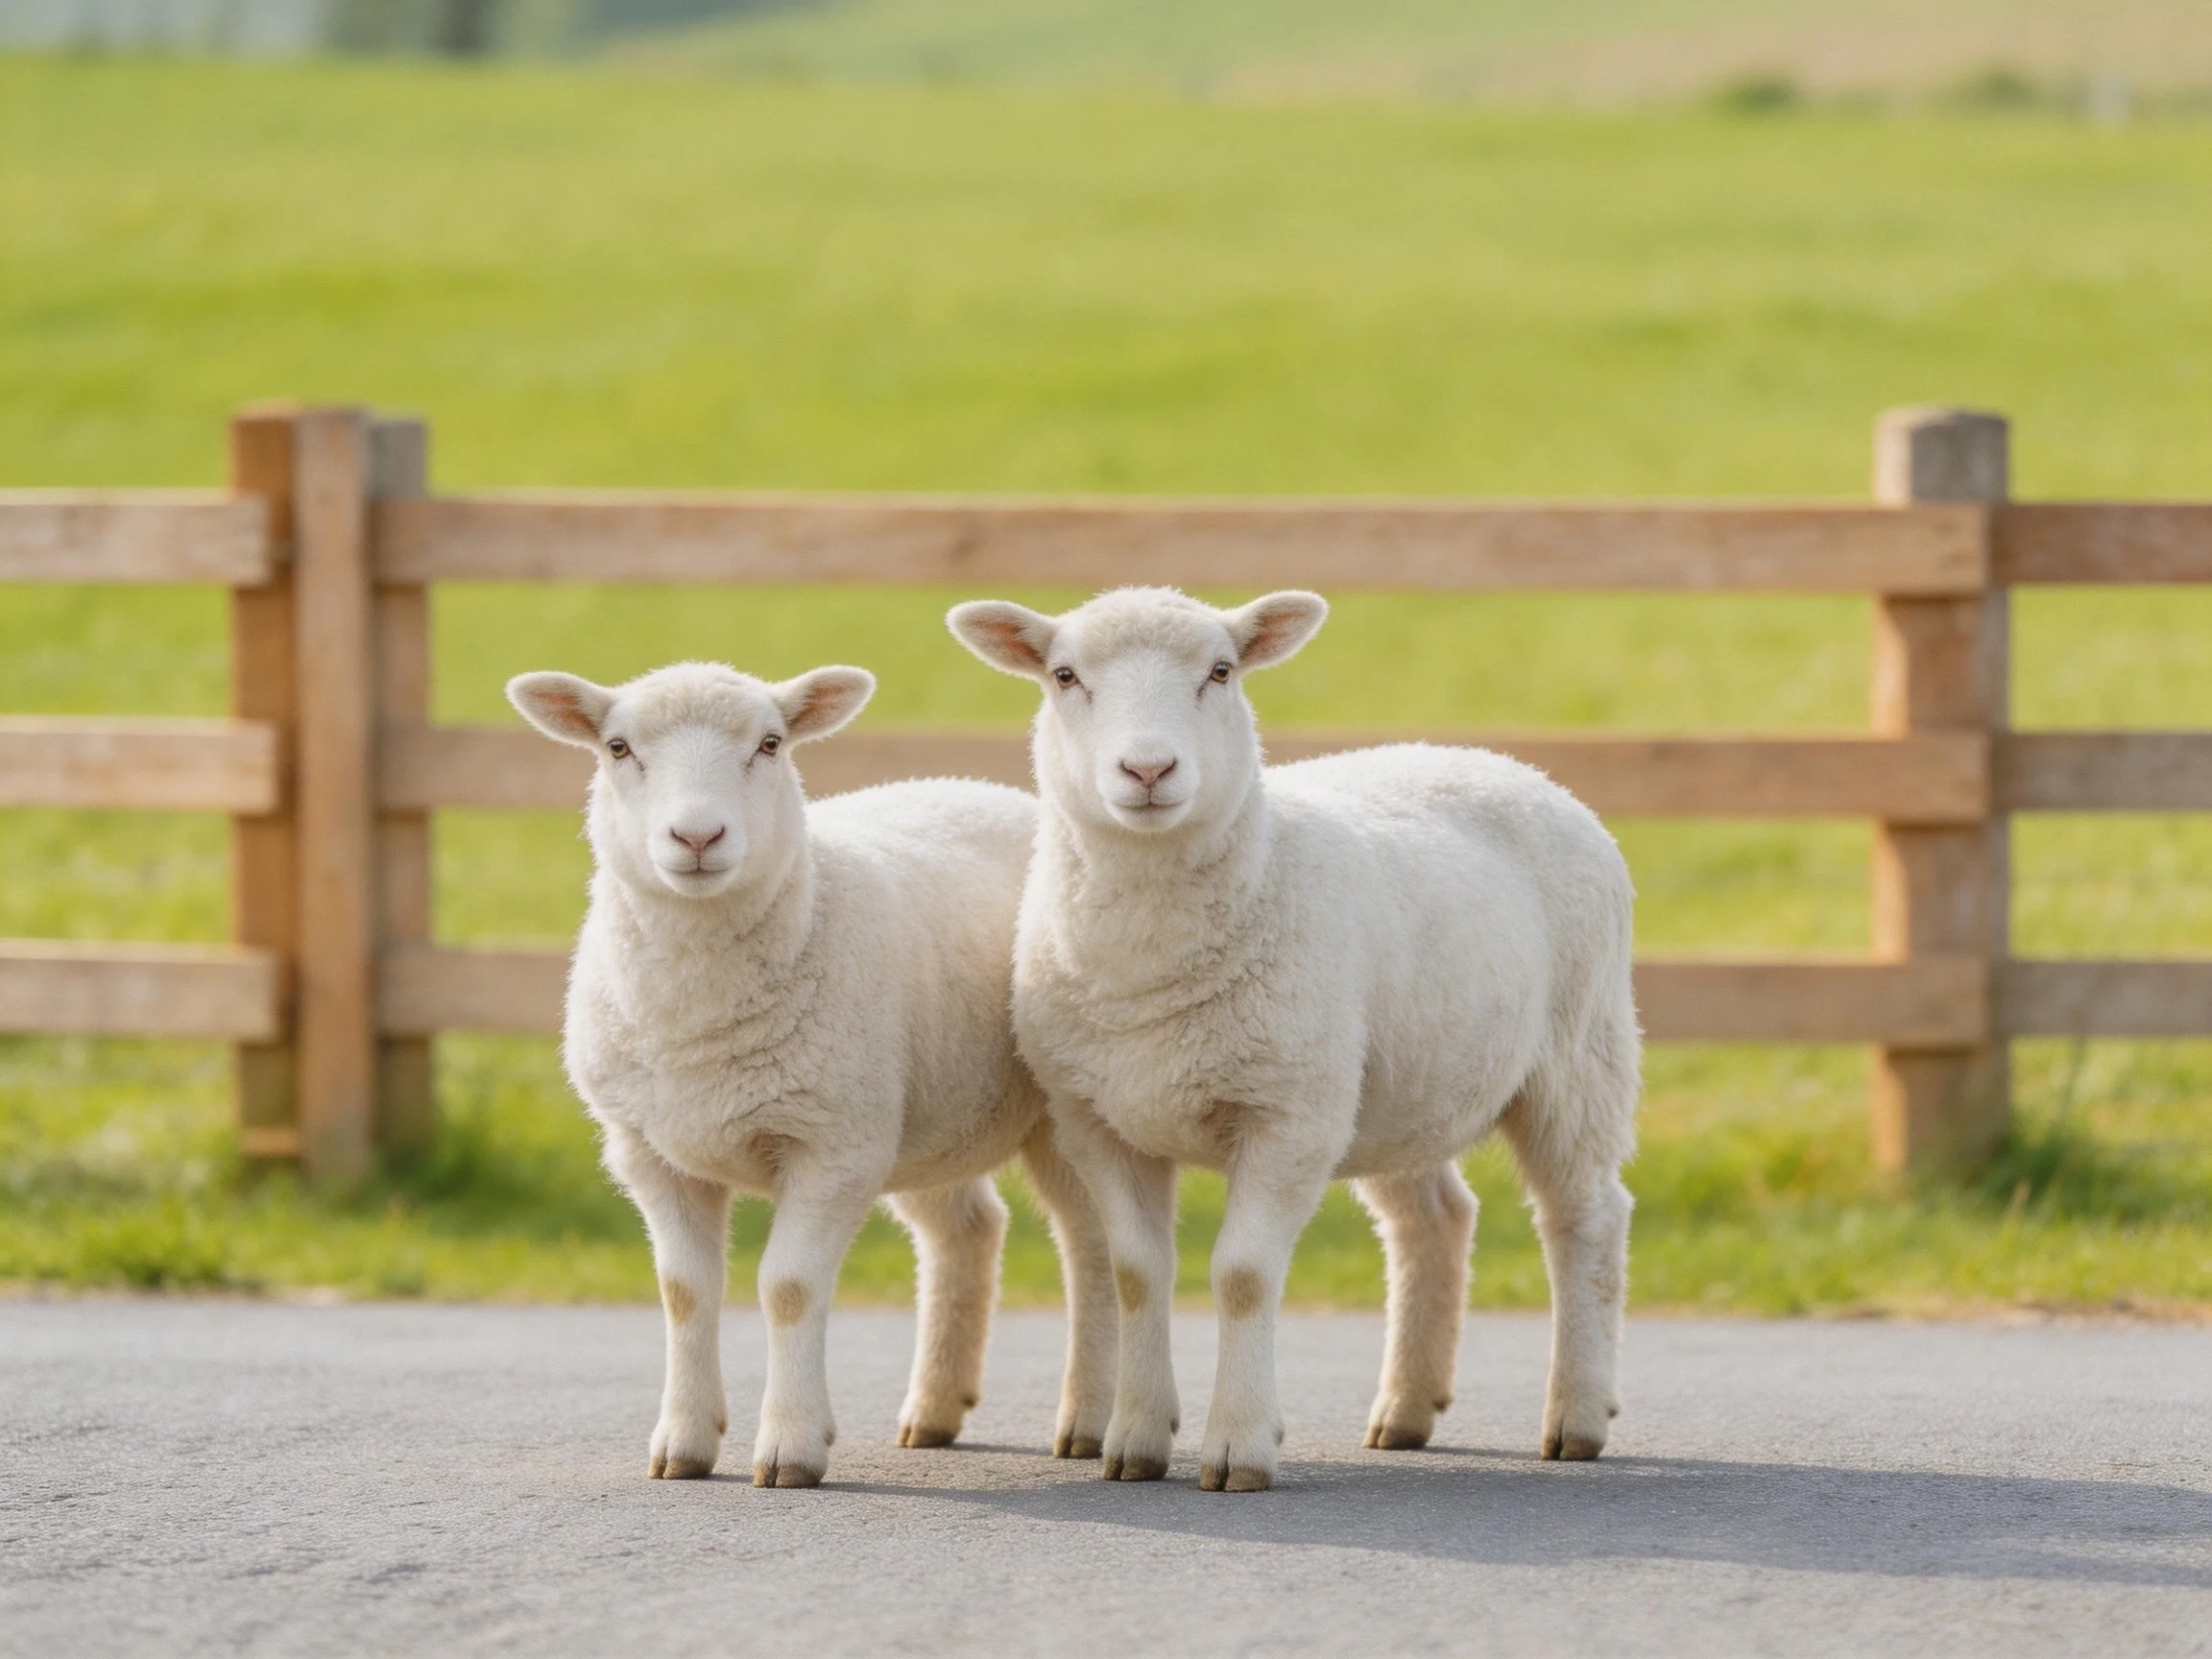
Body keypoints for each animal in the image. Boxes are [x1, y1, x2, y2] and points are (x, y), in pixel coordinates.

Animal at [506, 660, 1116, 1489]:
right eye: (618, 747)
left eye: (770, 743)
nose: (696, 836)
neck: (700, 1018)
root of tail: (995, 792)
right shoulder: (650, 1153)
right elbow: (684, 1293)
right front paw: (684, 1443)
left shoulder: (830, 1147)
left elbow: (789, 1289)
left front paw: (790, 1446)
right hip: (920, 1114)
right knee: (967, 1230)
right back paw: (935, 1409)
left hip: (1048, 1111)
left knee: (1092, 1248)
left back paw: (1089, 1419)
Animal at [948, 587, 1639, 1493]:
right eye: (1064, 675)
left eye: (1220, 671)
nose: (1148, 771)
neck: (1150, 968)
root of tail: (1499, 761)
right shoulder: (1100, 1121)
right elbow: (1137, 1274)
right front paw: (1135, 1441)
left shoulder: (1286, 1115)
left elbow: (1242, 1276)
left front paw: (1238, 1445)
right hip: (1389, 1084)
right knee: (1435, 1219)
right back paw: (1406, 1412)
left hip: (1576, 1053)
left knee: (1583, 1218)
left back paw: (1578, 1416)